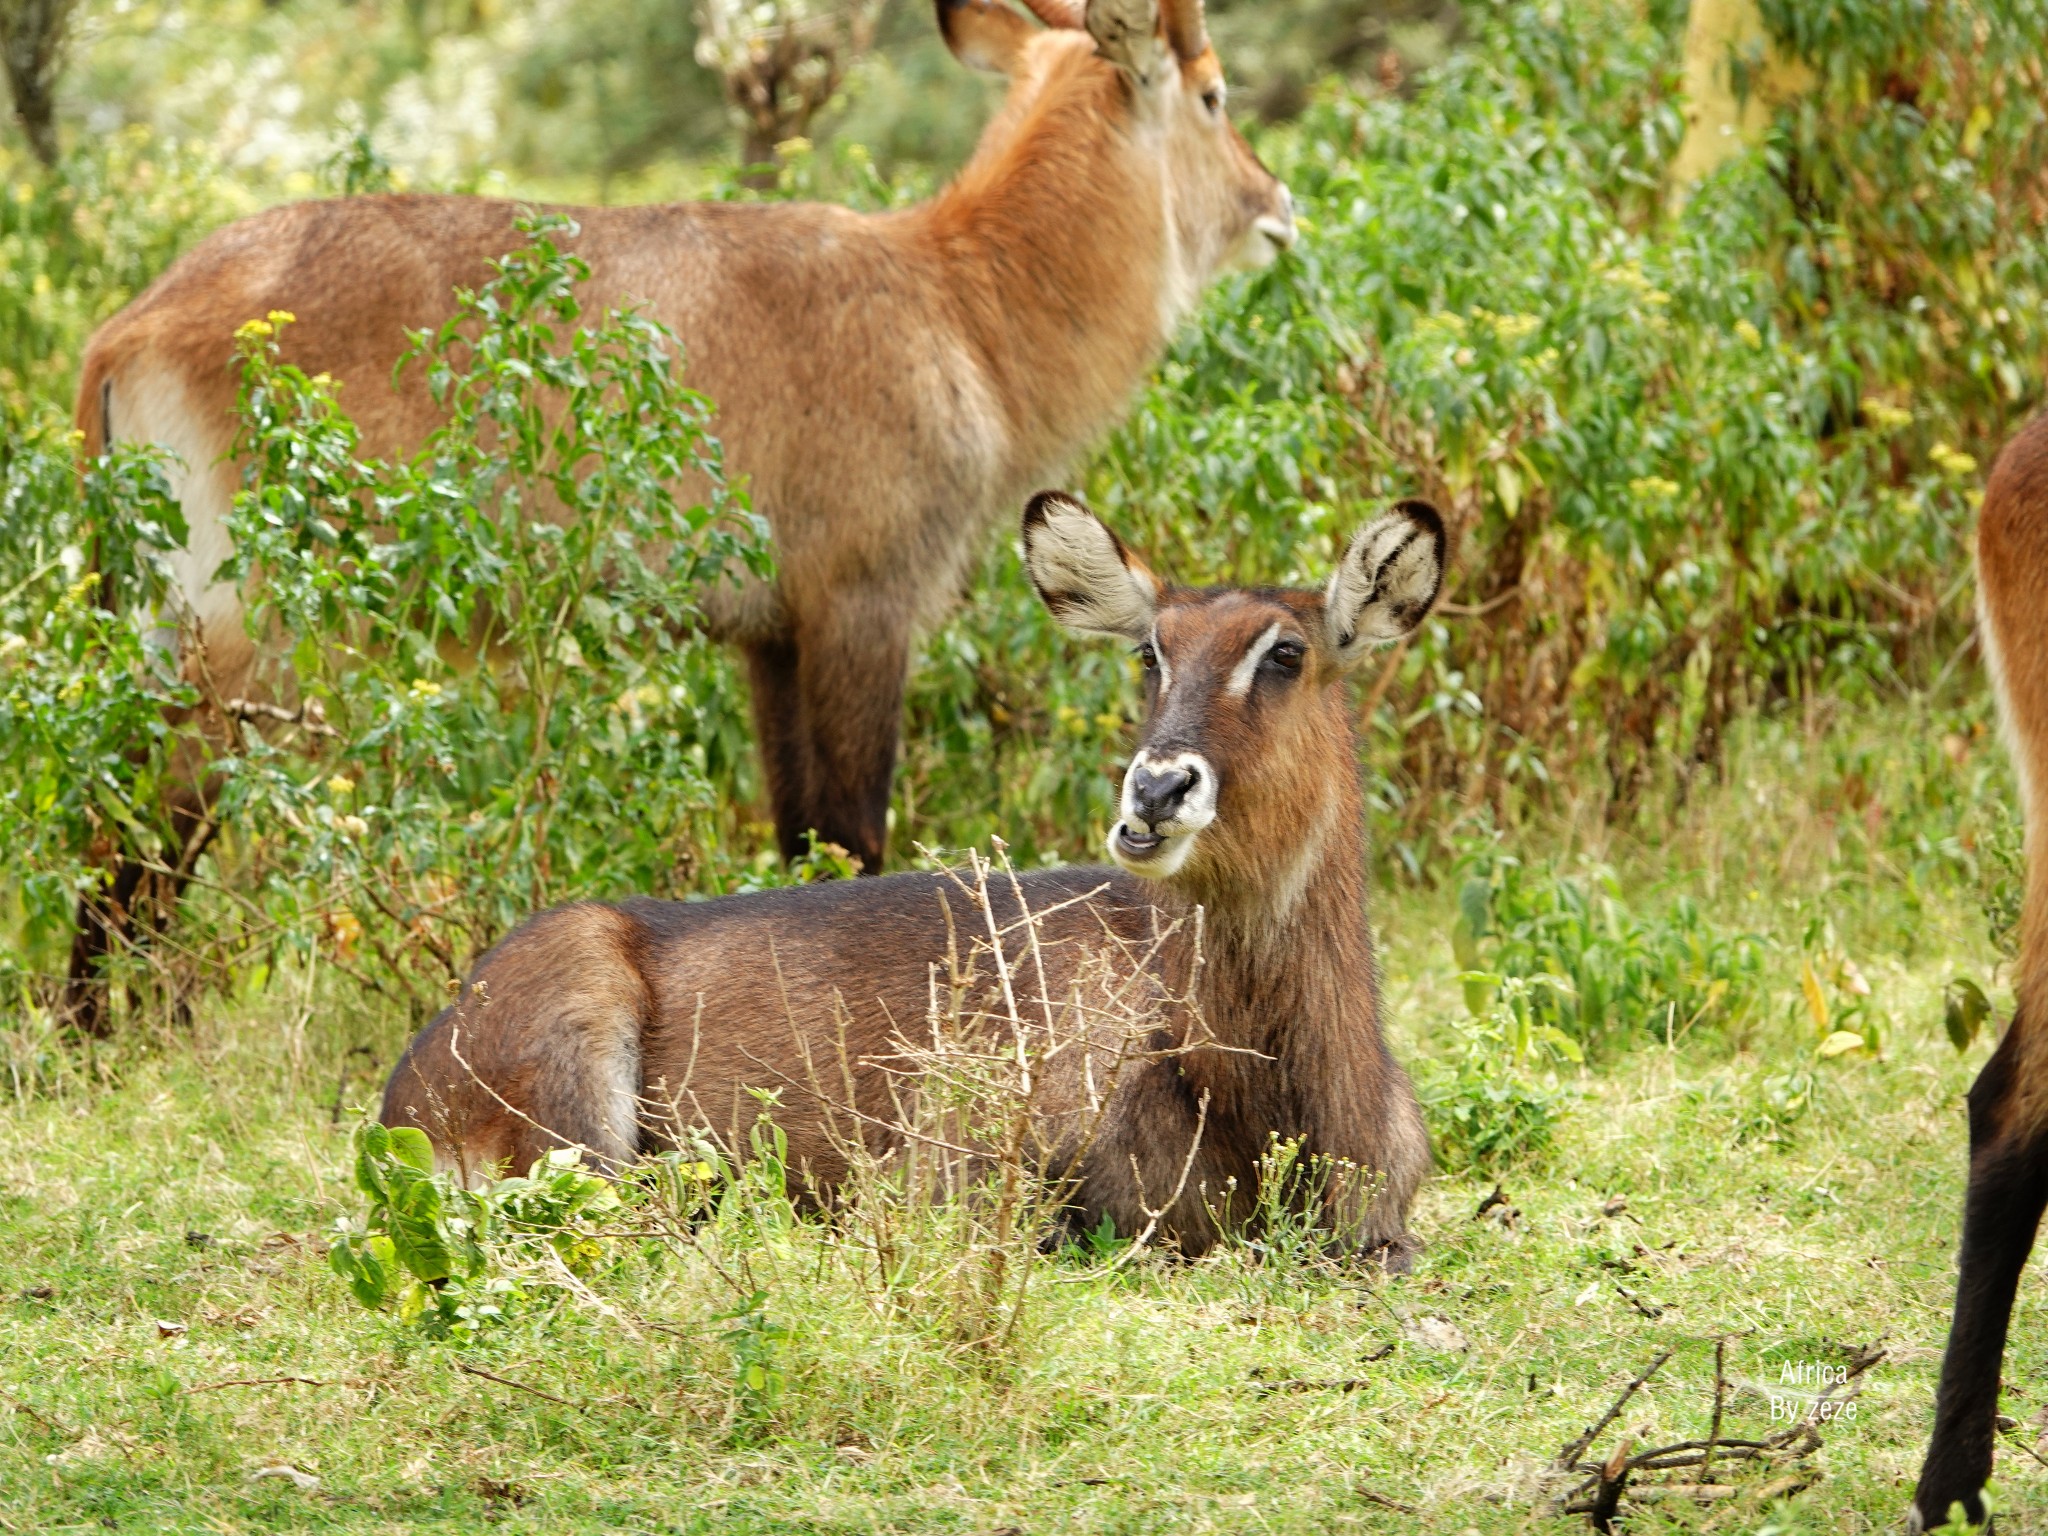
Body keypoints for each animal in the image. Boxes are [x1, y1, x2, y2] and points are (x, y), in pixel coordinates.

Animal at [64, 0, 1294, 1036]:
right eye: (1215, 93)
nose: (1281, 206)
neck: (965, 307)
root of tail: (131, 321)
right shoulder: (863, 609)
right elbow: (857, 831)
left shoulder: (770, 639)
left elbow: (799, 834)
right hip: (246, 625)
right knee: (149, 806)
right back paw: (109, 1032)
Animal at [380, 493, 1441, 1261]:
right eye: (1152, 651)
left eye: (1288, 652)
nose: (1157, 787)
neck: (1270, 1095)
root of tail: (403, 1093)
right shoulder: (939, 1171)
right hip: (577, 1043)